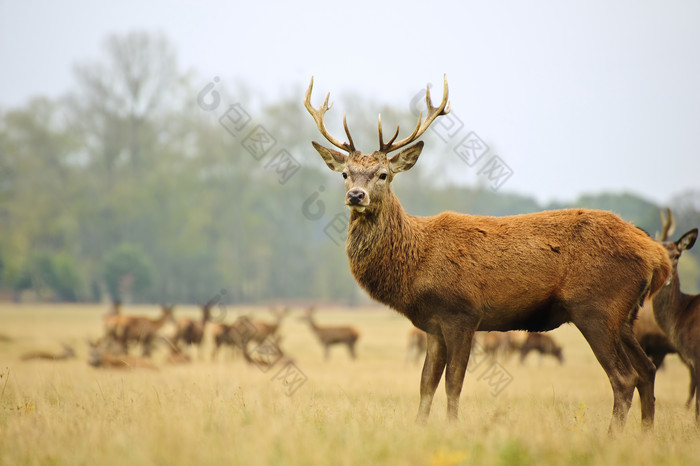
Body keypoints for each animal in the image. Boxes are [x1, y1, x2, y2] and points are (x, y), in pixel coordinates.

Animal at [304, 73, 672, 434]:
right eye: (345, 173)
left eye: (383, 174)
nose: (356, 195)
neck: (417, 262)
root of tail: (658, 256)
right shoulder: (433, 324)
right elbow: (426, 383)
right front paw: (419, 428)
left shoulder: (462, 312)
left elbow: (453, 382)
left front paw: (452, 428)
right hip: (625, 315)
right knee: (647, 370)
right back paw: (646, 435)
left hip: (596, 306)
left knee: (624, 377)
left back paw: (613, 438)